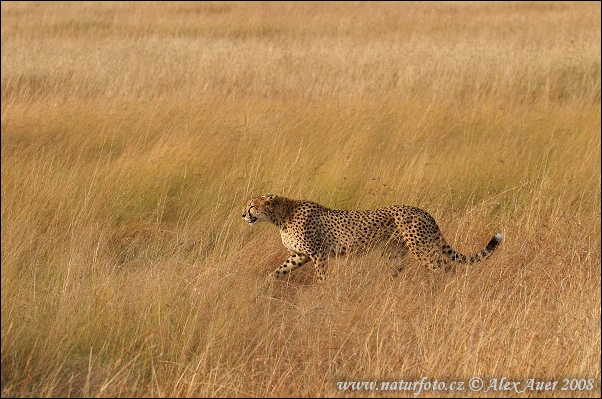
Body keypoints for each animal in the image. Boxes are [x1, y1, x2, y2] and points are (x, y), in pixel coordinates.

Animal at [240, 194, 502, 282]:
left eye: (251, 206)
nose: (243, 214)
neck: (280, 216)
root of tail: (423, 211)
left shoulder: (318, 254)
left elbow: (322, 278)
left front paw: (323, 294)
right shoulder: (300, 255)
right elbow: (277, 271)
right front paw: (264, 287)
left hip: (422, 248)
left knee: (446, 268)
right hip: (395, 254)